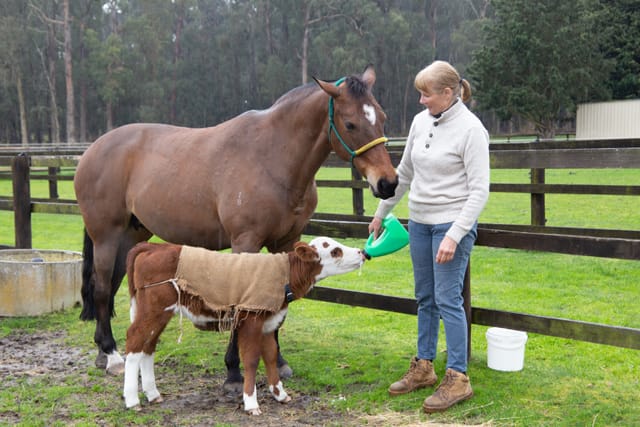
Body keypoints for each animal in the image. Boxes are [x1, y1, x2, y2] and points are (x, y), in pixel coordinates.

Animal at [73, 66, 398, 393]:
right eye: (350, 123)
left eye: (382, 117)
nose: (388, 183)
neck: (272, 157)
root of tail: (94, 148)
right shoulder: (246, 243)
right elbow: (240, 302)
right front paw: (233, 370)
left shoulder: (286, 241)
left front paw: (278, 362)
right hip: (106, 235)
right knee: (102, 287)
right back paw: (112, 355)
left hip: (132, 234)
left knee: (113, 285)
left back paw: (106, 348)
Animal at [123, 237, 365, 415]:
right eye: (335, 251)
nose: (362, 252)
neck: (284, 274)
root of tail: (153, 246)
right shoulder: (251, 320)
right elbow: (251, 360)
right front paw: (251, 403)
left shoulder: (268, 322)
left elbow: (270, 357)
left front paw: (280, 394)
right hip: (153, 310)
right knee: (134, 343)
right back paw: (132, 400)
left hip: (160, 314)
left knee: (148, 347)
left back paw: (153, 394)